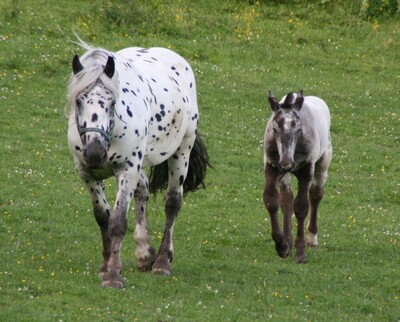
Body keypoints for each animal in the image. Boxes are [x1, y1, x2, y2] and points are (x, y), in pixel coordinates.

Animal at [66, 39, 209, 288]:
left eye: (112, 102)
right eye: (78, 100)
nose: (94, 153)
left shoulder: (127, 170)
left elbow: (118, 222)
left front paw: (113, 275)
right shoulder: (88, 174)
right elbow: (102, 217)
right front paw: (106, 266)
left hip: (182, 151)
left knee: (173, 203)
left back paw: (162, 262)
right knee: (143, 190)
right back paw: (144, 252)